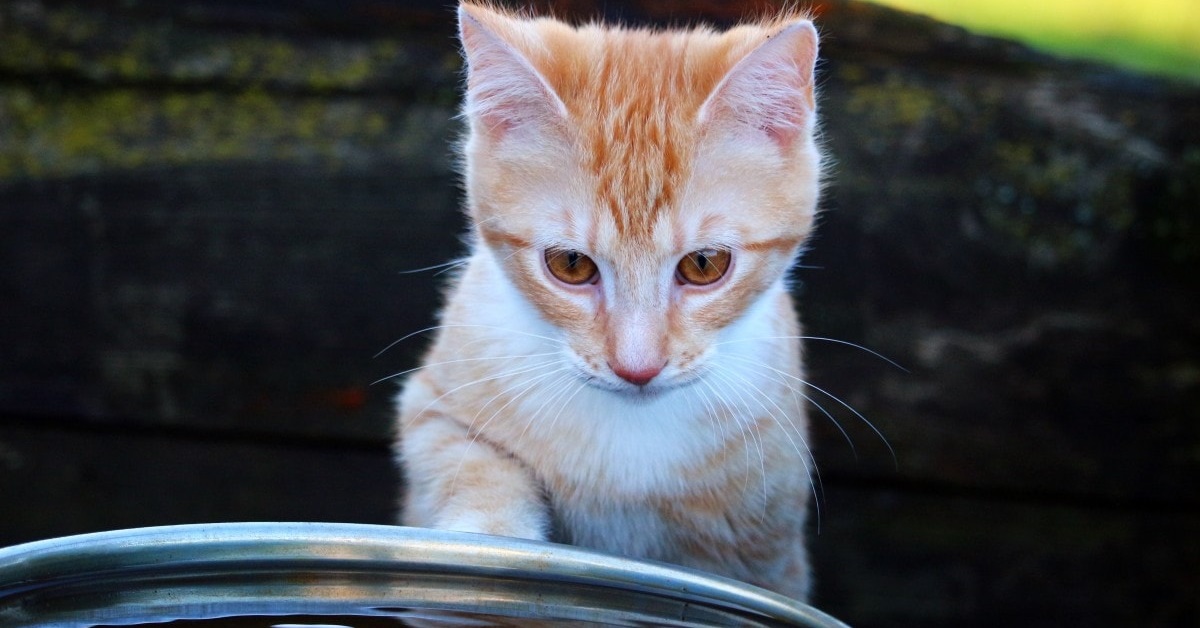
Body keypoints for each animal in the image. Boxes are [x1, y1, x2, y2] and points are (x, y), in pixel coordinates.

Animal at [393, 0, 825, 602]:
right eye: (571, 265)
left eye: (704, 265)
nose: (636, 368)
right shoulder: (433, 405)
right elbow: (470, 465)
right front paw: (490, 544)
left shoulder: (770, 547)